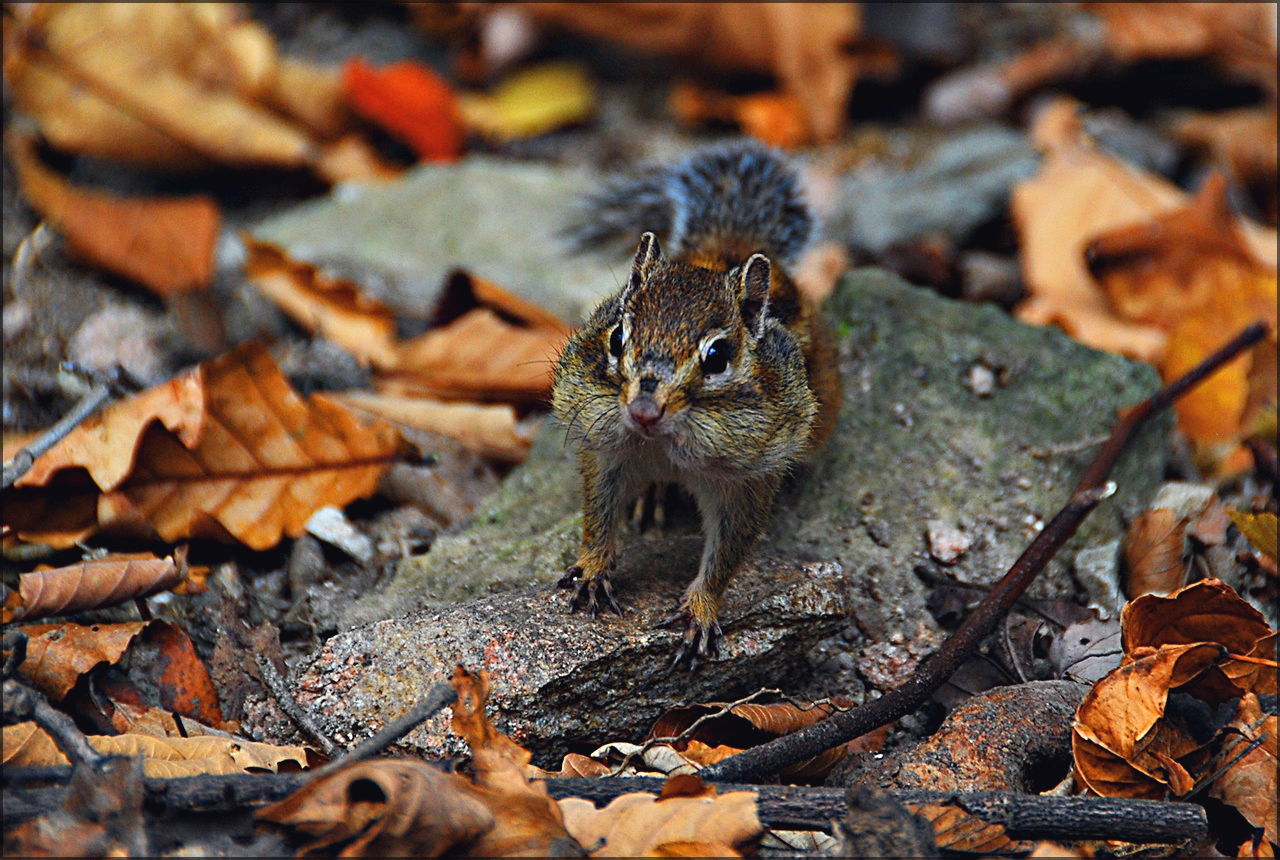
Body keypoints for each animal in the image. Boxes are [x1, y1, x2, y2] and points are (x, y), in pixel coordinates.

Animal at [551, 139, 841, 670]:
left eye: (717, 356)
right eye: (616, 336)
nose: (644, 412)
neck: (663, 445)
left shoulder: (747, 482)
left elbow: (727, 553)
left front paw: (701, 610)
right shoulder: (605, 449)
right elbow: (596, 515)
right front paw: (593, 568)